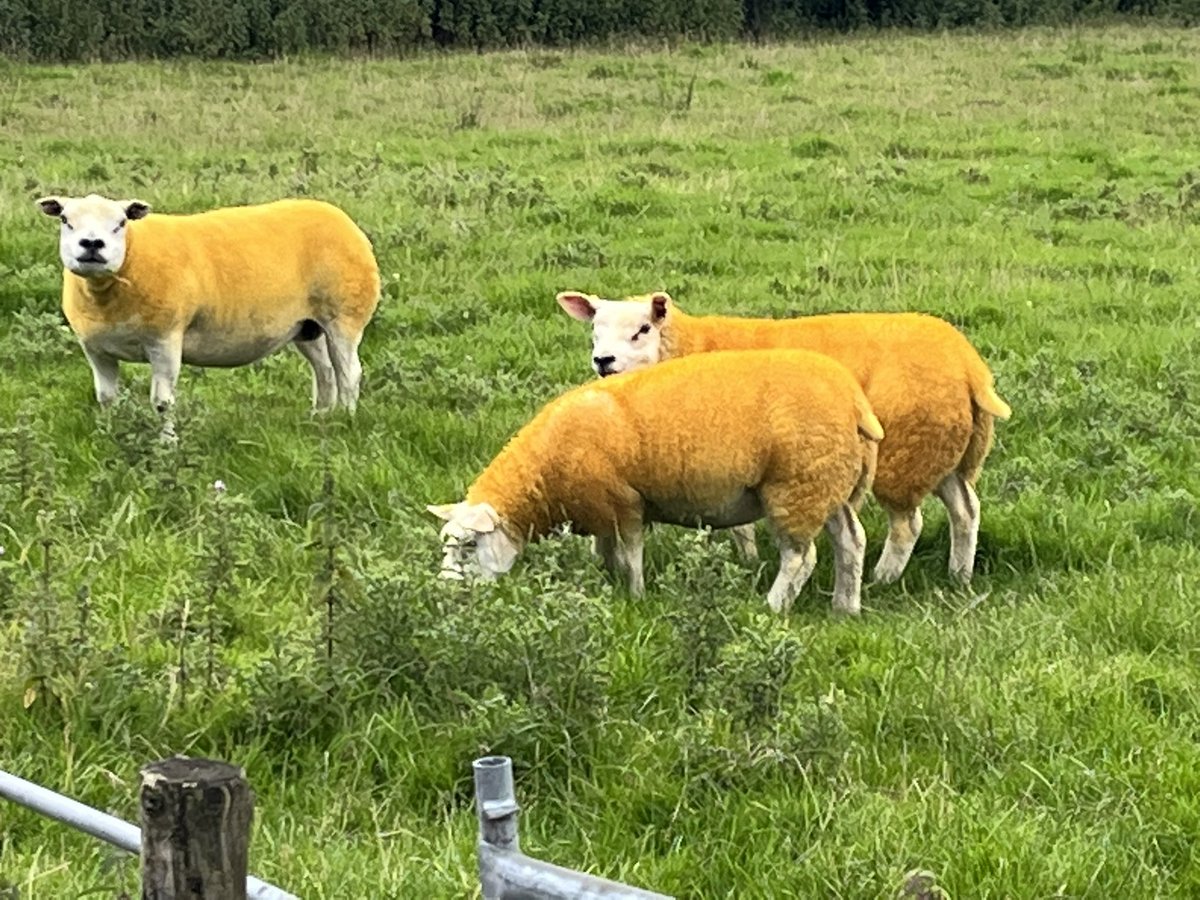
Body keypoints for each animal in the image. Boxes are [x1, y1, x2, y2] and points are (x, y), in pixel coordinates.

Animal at [35, 195, 379, 417]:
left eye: (121, 223)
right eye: (65, 220)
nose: (92, 244)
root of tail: (340, 217)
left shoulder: (165, 340)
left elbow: (162, 403)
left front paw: (166, 451)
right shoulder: (95, 349)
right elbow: (106, 399)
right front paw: (110, 435)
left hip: (344, 316)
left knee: (350, 373)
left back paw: (346, 419)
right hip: (307, 326)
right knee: (325, 371)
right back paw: (321, 418)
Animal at [427, 348, 888, 619]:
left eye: (469, 545)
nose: (445, 592)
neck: (543, 479)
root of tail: (853, 400)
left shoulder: (624, 503)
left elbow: (630, 557)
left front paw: (635, 598)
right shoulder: (601, 512)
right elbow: (608, 554)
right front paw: (611, 585)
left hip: (796, 486)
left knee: (800, 558)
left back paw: (773, 606)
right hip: (829, 484)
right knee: (851, 541)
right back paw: (846, 608)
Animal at [556, 289, 1008, 585]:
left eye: (643, 328)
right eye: (594, 330)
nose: (603, 361)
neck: (690, 346)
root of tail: (968, 363)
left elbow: (737, 524)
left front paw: (748, 560)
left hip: (906, 450)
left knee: (908, 524)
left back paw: (883, 578)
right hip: (944, 449)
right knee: (966, 509)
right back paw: (959, 576)